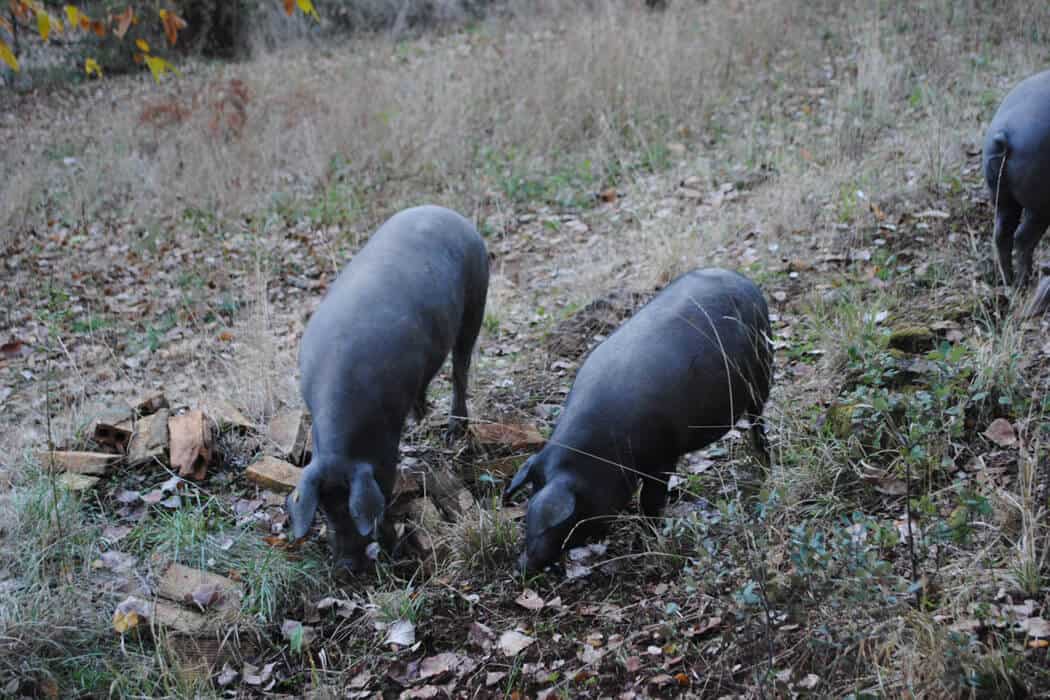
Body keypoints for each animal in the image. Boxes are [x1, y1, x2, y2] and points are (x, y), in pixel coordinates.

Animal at [283, 203, 487, 575]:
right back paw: (422, 415)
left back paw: (454, 432)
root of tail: (450, 213)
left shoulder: (387, 433)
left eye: (352, 509)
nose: (346, 566)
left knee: (460, 369)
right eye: (325, 509)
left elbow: (387, 482)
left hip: (475, 304)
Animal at [503, 268, 776, 575]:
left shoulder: (663, 457)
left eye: (559, 523)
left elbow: (651, 500)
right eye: (526, 515)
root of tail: (743, 279)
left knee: (757, 419)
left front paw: (646, 539)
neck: (601, 453)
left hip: (761, 371)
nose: (521, 567)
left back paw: (765, 463)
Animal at [978, 69, 1050, 289]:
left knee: (1001, 234)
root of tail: (1004, 133)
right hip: (1039, 206)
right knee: (1022, 238)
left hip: (1002, 198)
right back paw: (1024, 282)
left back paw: (1009, 283)